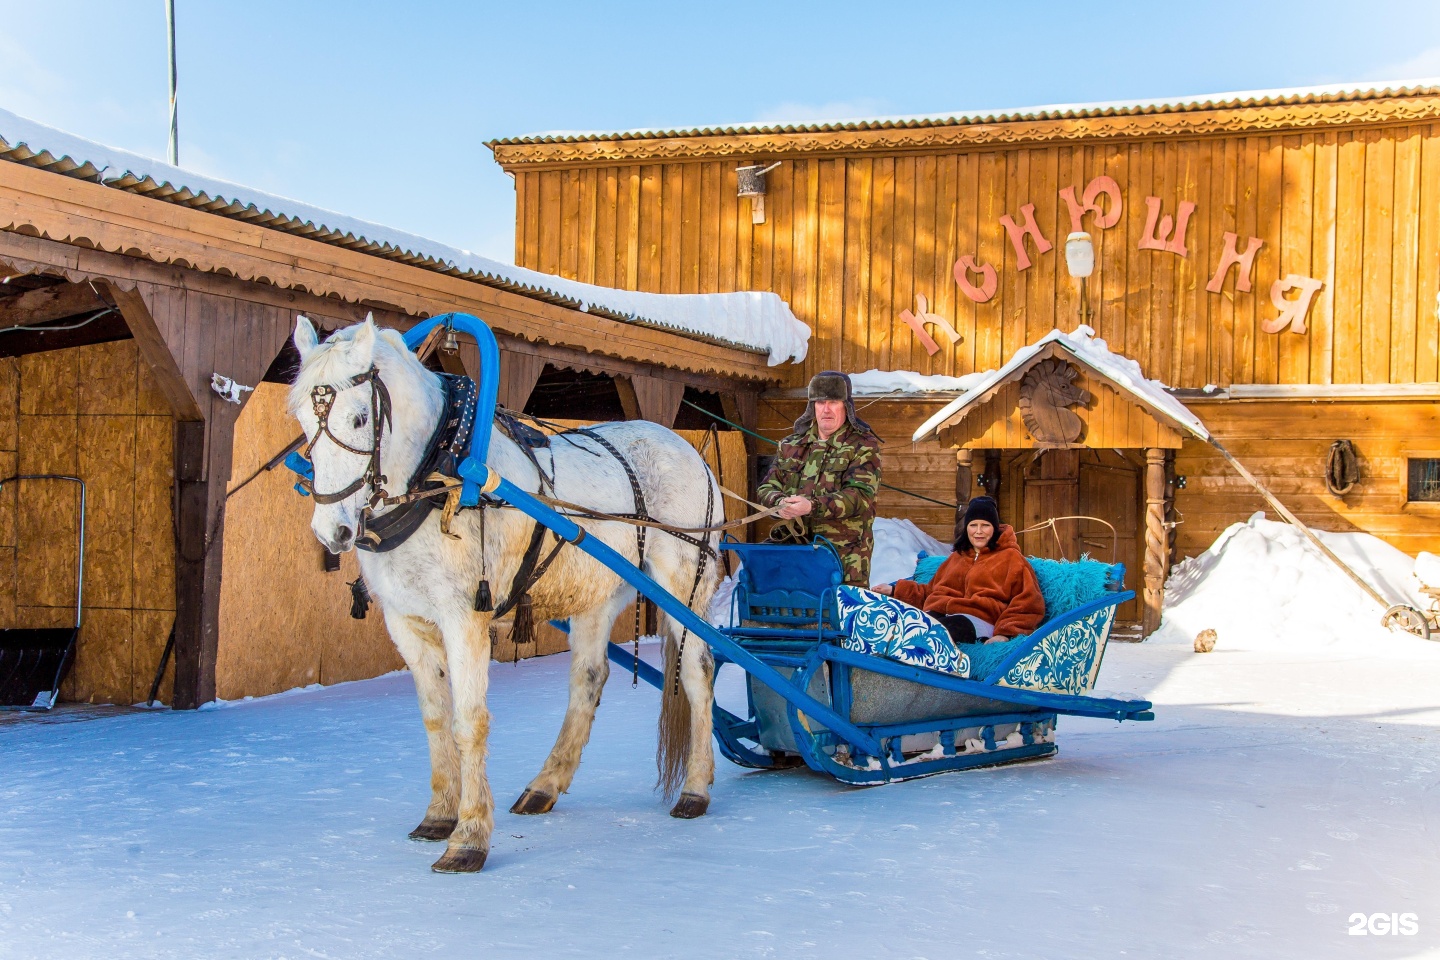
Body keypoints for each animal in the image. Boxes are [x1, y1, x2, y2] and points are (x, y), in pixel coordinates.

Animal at [288, 319, 725, 875]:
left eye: (360, 417)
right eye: (302, 416)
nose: (332, 531)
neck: (443, 472)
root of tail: (692, 453)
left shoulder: (464, 618)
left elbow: (469, 721)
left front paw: (469, 837)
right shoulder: (407, 622)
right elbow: (436, 719)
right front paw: (438, 815)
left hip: (682, 586)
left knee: (698, 672)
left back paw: (695, 789)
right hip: (596, 592)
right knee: (588, 678)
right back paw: (545, 785)